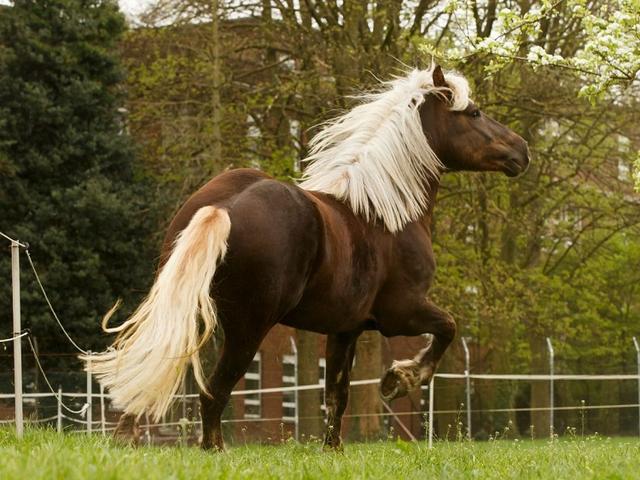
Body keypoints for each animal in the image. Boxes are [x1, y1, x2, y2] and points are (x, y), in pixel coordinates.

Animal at [83, 65, 529, 451]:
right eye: (474, 112)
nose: (522, 151)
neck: (383, 212)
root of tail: (224, 208)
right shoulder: (401, 312)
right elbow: (448, 329)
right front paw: (399, 379)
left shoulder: (346, 328)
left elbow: (337, 394)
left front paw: (334, 449)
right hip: (248, 328)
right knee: (214, 392)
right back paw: (214, 450)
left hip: (191, 316)